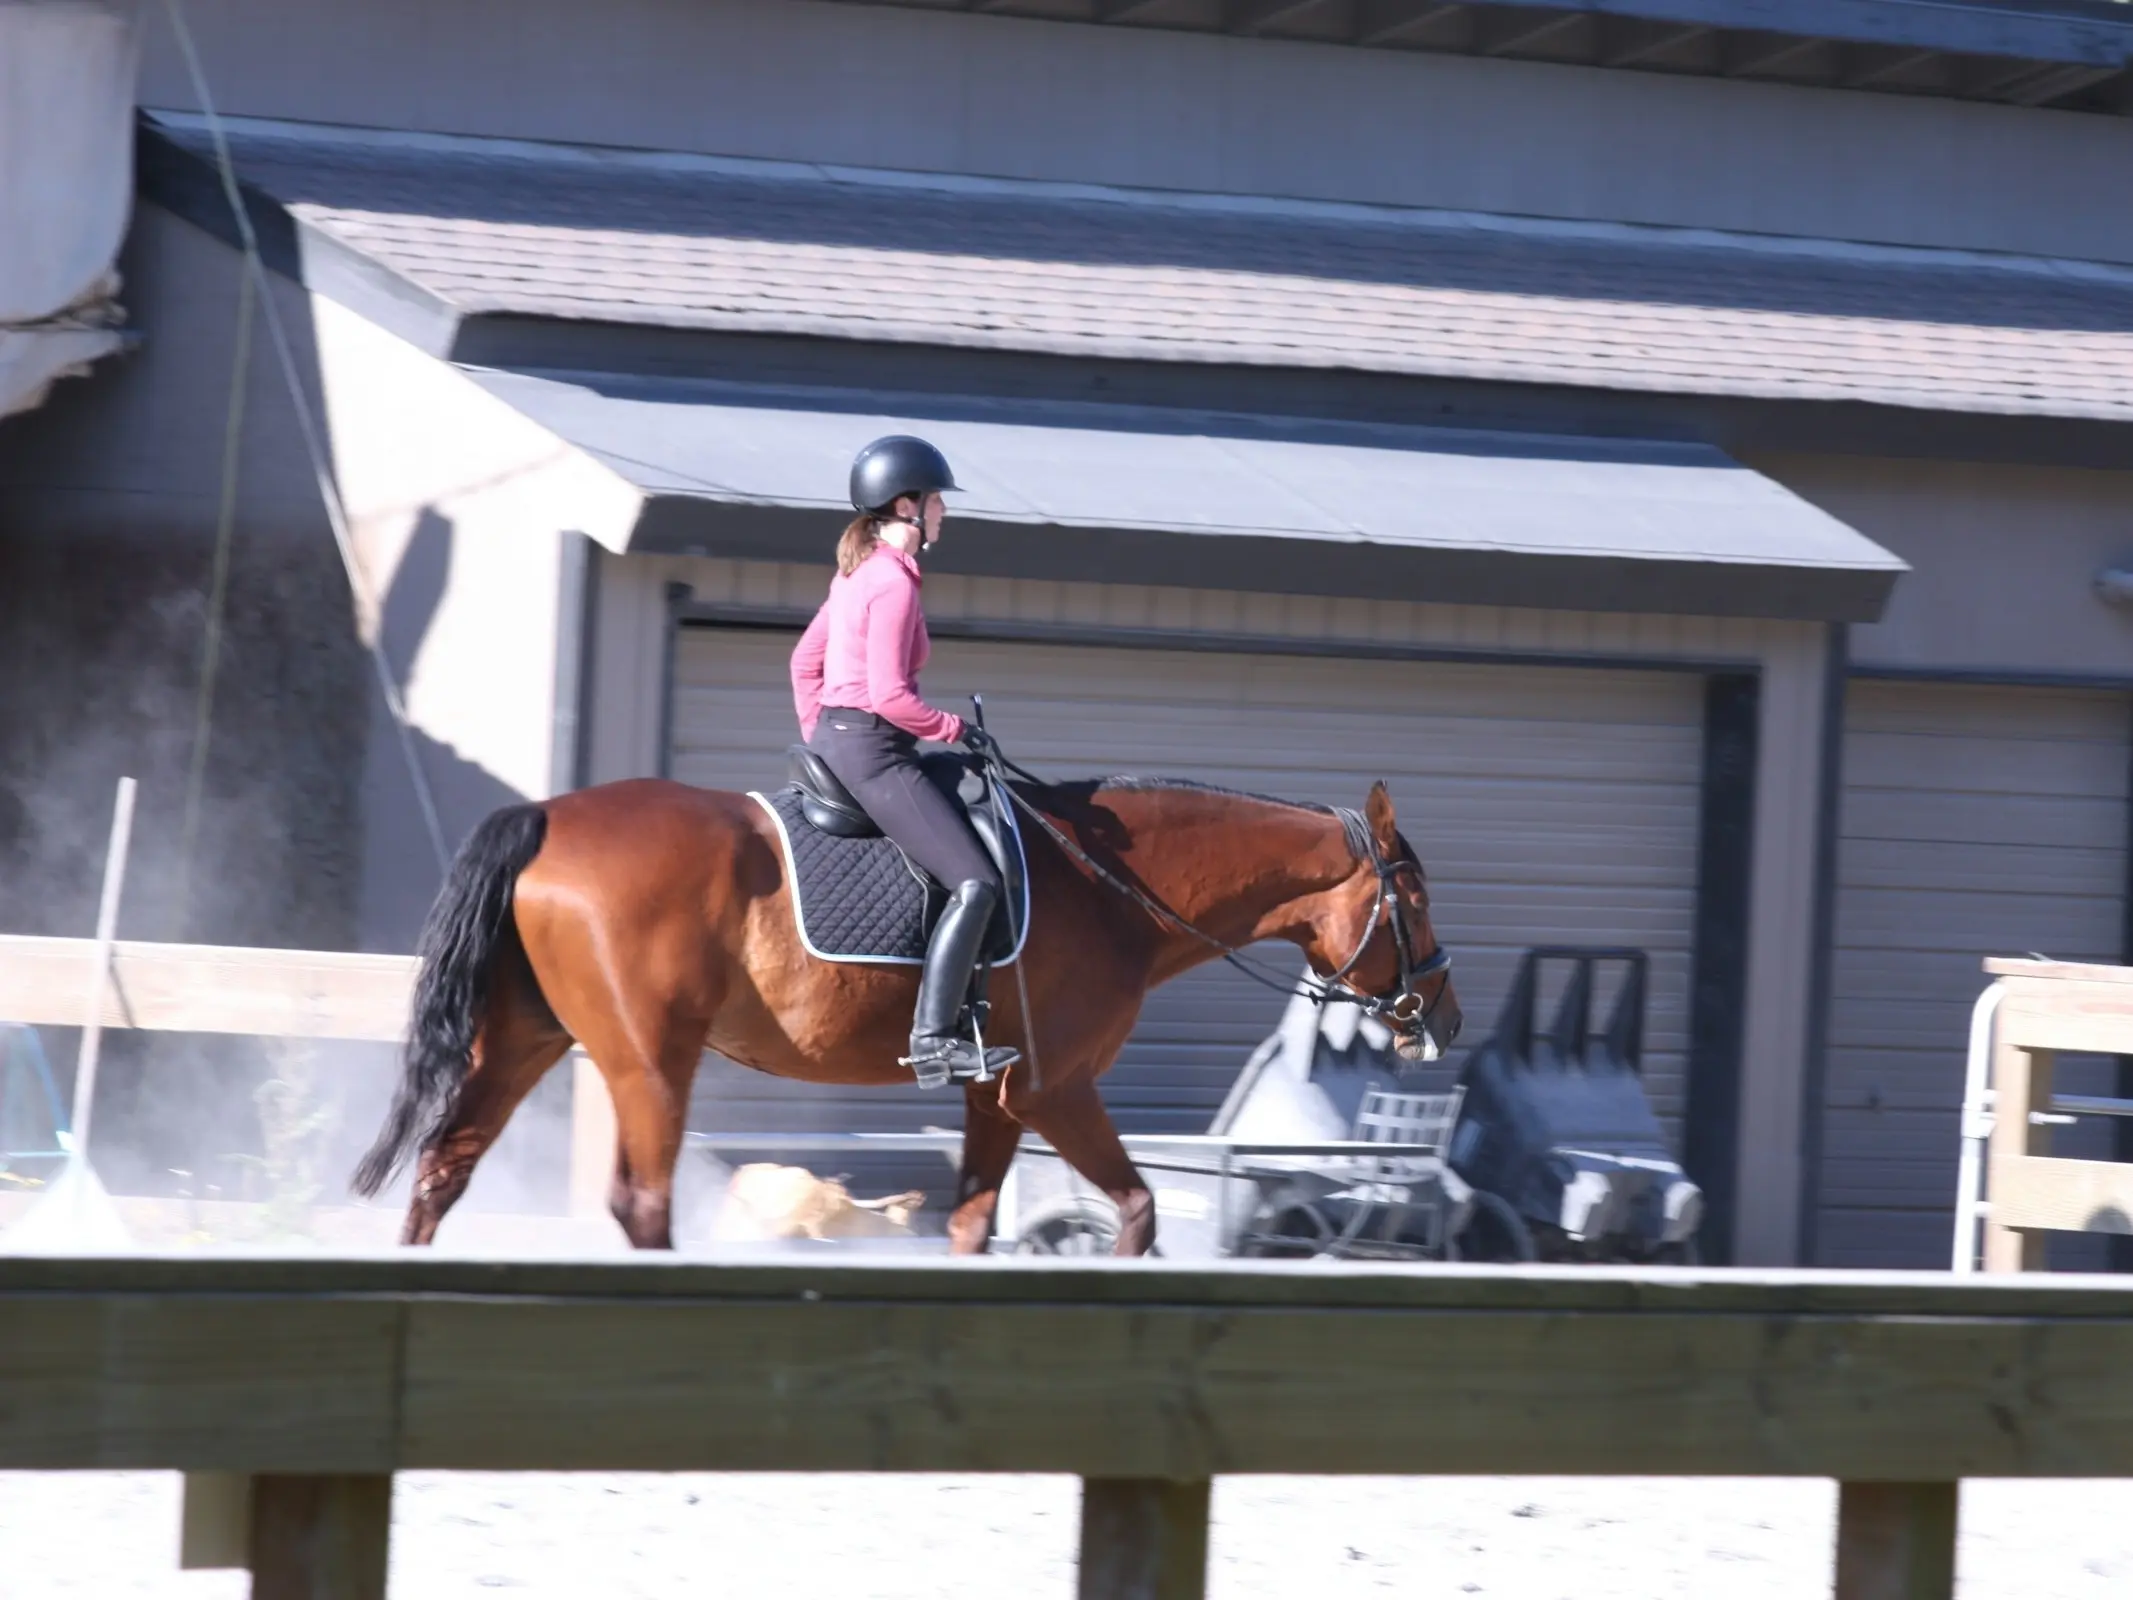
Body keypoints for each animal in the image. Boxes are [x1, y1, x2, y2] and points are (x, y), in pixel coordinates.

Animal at [350, 769, 1463, 1255]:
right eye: (1412, 897)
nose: (1441, 1017)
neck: (1110, 886)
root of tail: (547, 817)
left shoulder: (996, 1098)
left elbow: (972, 1221)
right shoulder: (1056, 1089)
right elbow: (1140, 1210)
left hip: (529, 1042)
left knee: (443, 1170)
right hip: (650, 1064)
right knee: (643, 1203)